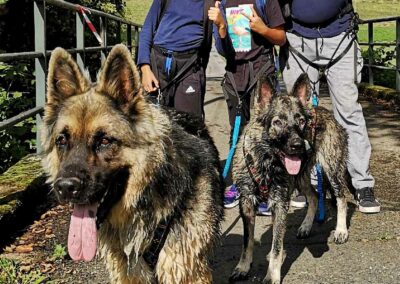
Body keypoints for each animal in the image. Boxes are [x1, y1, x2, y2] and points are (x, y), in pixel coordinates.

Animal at [230, 74, 348, 282]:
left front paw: (272, 276)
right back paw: (306, 226)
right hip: (300, 178)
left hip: (332, 170)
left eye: (301, 121)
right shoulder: (247, 204)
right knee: (314, 197)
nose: (299, 145)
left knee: (342, 197)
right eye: (277, 122)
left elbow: (276, 248)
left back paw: (341, 230)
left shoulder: (280, 205)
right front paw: (243, 266)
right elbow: (247, 241)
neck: (266, 161)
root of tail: (325, 111)